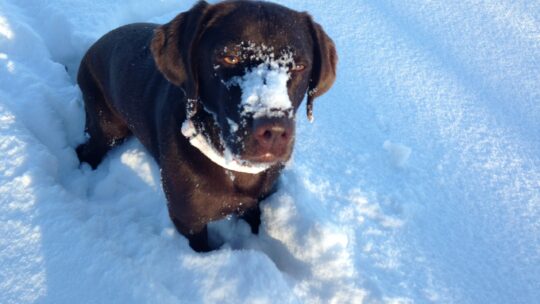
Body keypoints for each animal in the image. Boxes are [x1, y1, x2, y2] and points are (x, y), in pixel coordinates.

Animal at [77, 0, 338, 252]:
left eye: (299, 66)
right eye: (230, 57)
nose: (274, 131)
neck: (234, 170)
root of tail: (95, 45)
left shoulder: (258, 202)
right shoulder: (187, 221)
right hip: (108, 126)